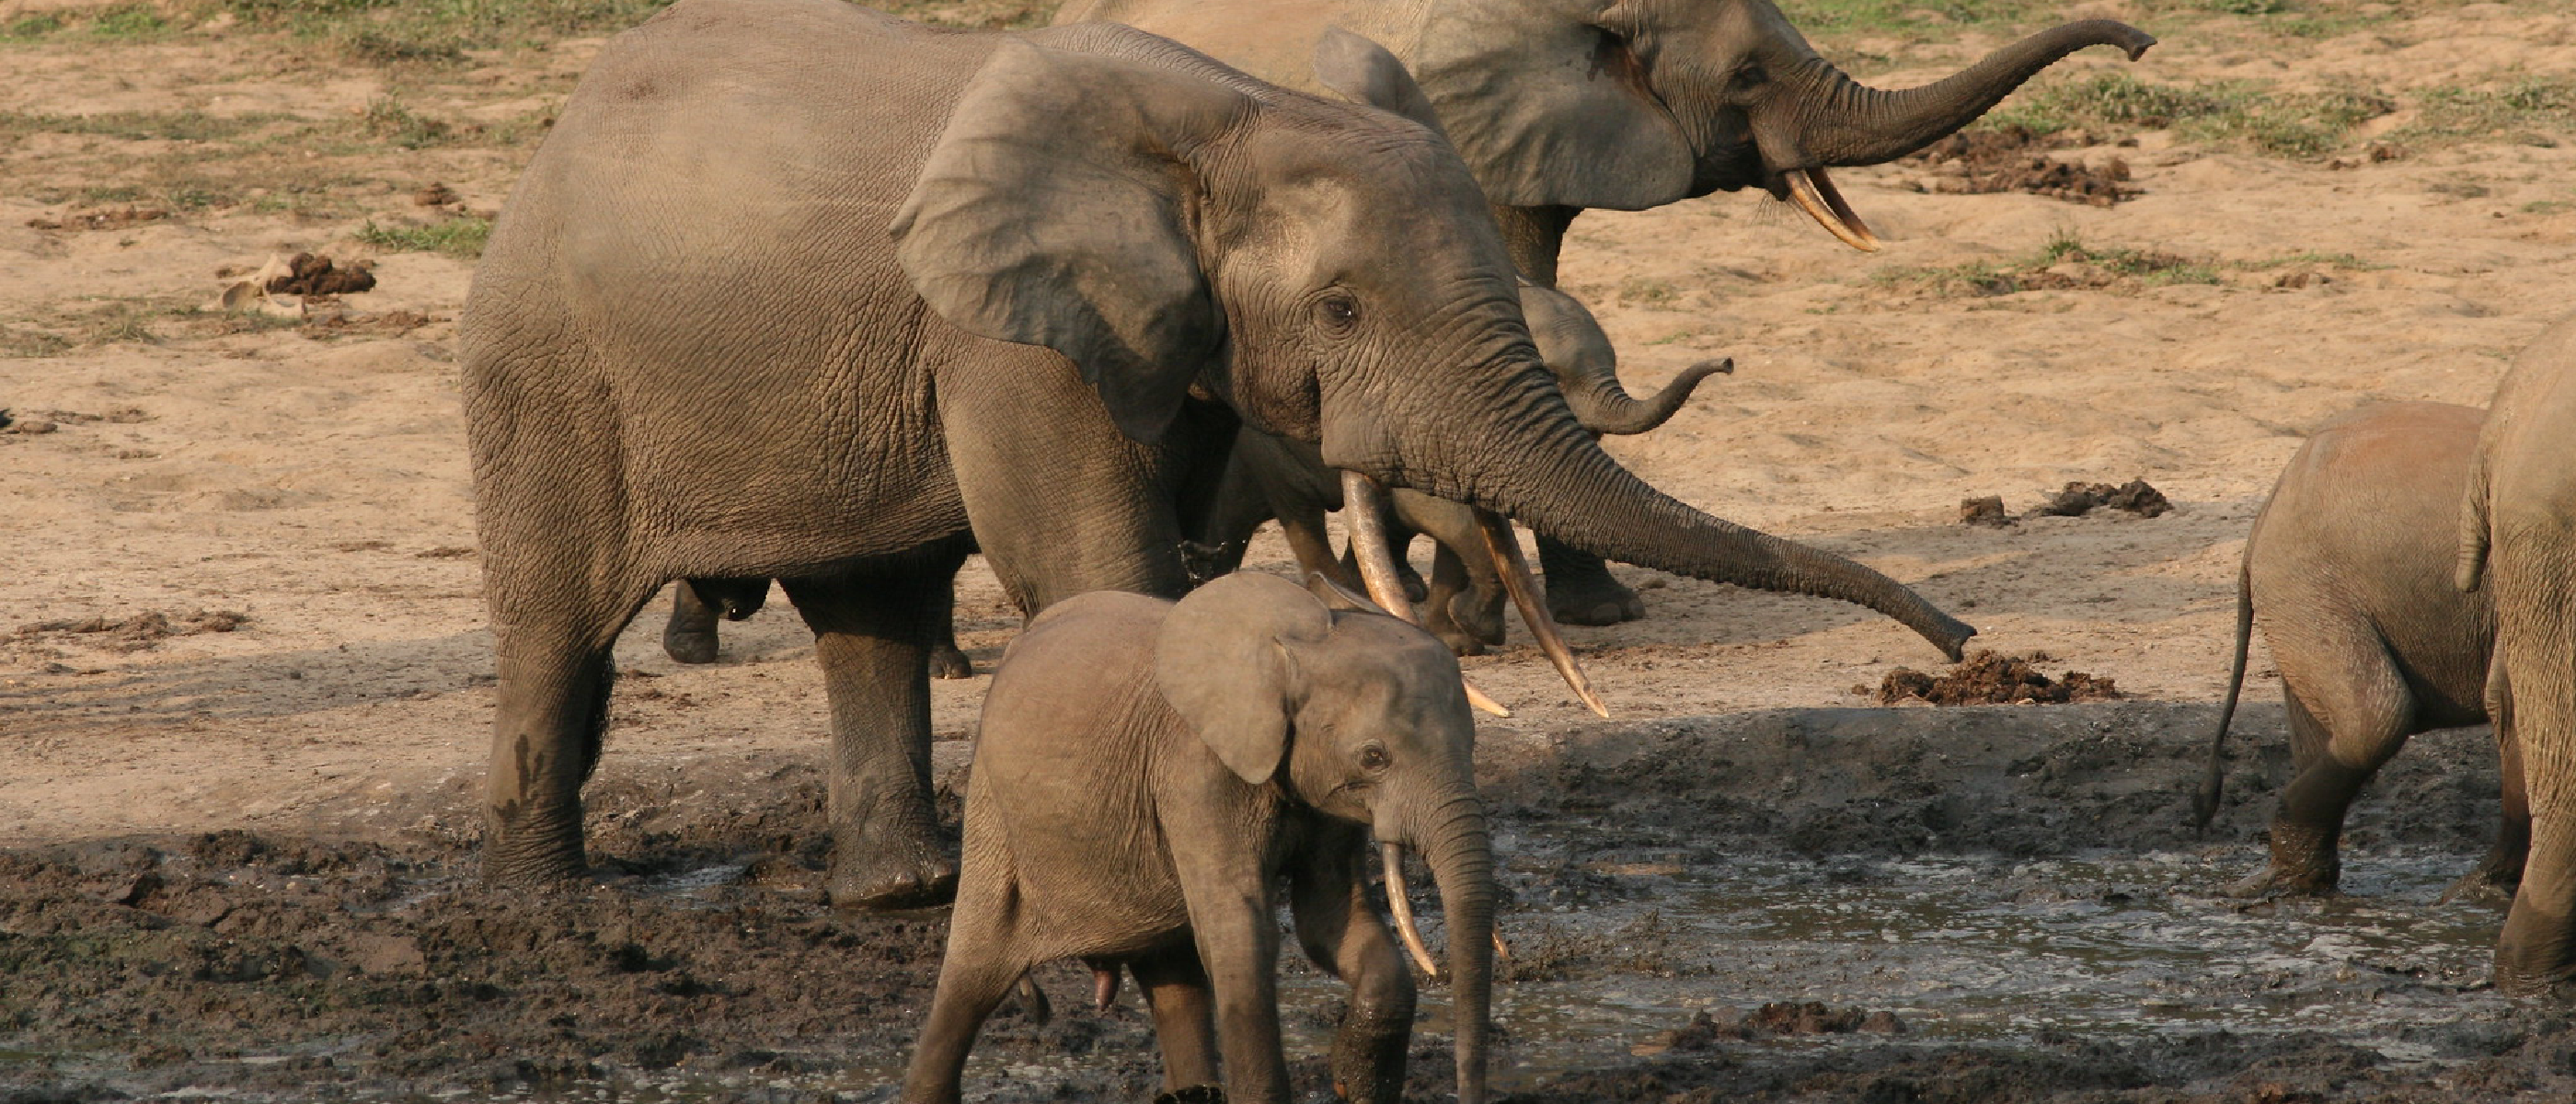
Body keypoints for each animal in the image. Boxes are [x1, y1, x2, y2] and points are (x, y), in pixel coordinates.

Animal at [468, 0, 1968, 905]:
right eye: (1343, 310)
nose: (1959, 646)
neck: (1231, 120)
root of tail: (549, 140)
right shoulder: (1010, 334)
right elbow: (1093, 564)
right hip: (544, 368)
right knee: (557, 633)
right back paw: (553, 904)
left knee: (871, 615)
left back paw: (909, 893)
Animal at [906, 570, 1504, 1096]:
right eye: (1374, 757)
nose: (1470, 1092)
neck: (1292, 650)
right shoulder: (1195, 769)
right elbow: (1241, 930)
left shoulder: (1321, 794)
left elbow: (1331, 918)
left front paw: (1353, 1079)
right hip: (993, 807)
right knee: (972, 976)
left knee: (1174, 982)